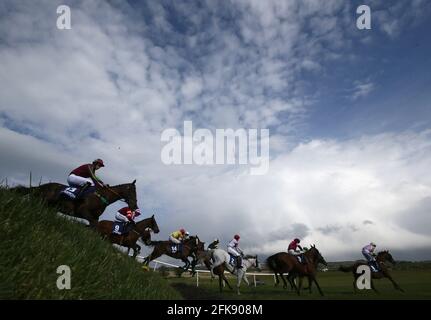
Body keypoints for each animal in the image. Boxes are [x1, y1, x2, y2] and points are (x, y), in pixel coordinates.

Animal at [10, 180, 138, 228]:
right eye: (133, 191)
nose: (135, 206)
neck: (102, 196)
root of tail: (42, 186)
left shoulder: (95, 218)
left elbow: (94, 226)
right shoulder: (84, 211)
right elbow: (93, 226)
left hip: (48, 205)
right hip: (40, 201)